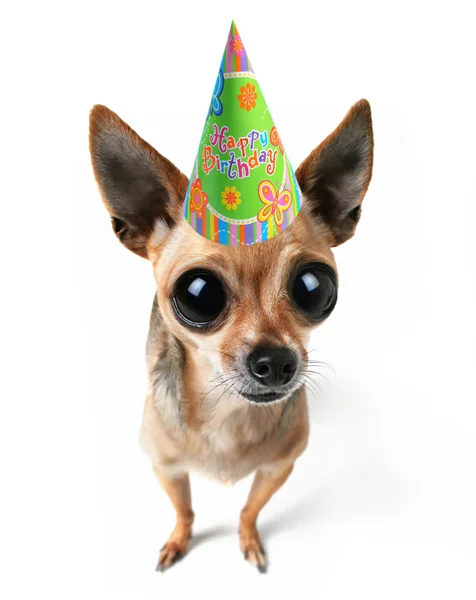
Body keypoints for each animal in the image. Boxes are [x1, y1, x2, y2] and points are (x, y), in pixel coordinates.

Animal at [88, 101, 372, 576]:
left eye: (314, 288)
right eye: (198, 295)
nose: (276, 362)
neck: (227, 415)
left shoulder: (278, 468)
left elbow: (249, 509)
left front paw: (249, 539)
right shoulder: (166, 469)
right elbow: (184, 510)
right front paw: (179, 541)